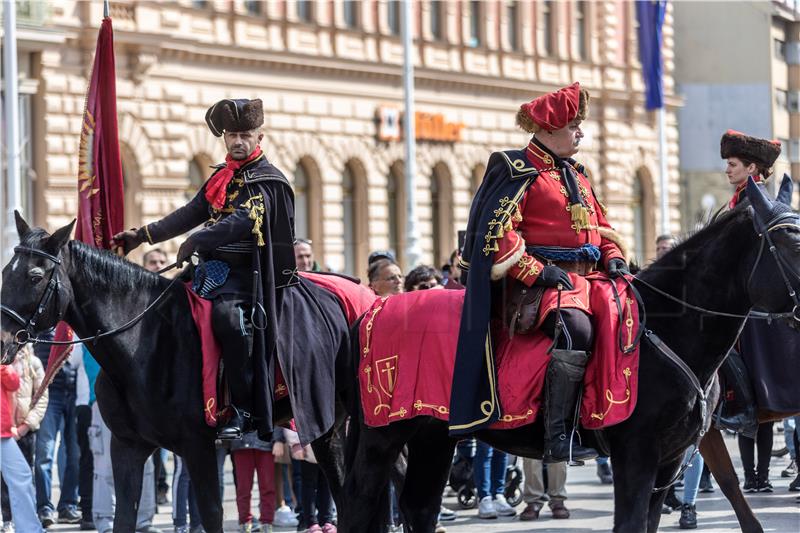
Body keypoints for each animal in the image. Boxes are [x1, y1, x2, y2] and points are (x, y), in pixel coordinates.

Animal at [0, 213, 354, 532]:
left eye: (34, 276)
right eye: (5, 272)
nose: (2, 341)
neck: (145, 340)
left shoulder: (199, 447)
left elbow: (211, 516)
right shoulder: (127, 447)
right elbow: (124, 518)